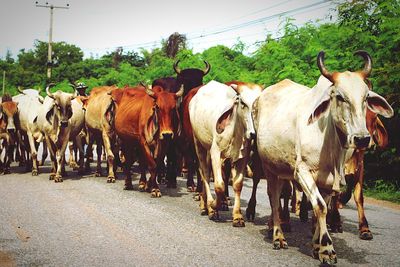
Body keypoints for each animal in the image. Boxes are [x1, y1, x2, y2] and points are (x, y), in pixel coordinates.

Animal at [190, 80, 262, 227]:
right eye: (243, 103)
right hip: (199, 144)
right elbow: (219, 185)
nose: (253, 134)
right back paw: (205, 205)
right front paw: (213, 206)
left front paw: (237, 216)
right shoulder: (215, 152)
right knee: (204, 173)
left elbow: (237, 184)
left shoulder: (242, 157)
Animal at [253, 51, 394, 264]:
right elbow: (319, 207)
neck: (330, 142)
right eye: (340, 97)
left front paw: (317, 245)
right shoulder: (302, 171)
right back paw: (278, 235)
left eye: (366, 98)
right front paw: (327, 248)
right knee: (274, 197)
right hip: (269, 166)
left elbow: (323, 207)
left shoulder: (328, 181)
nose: (362, 139)